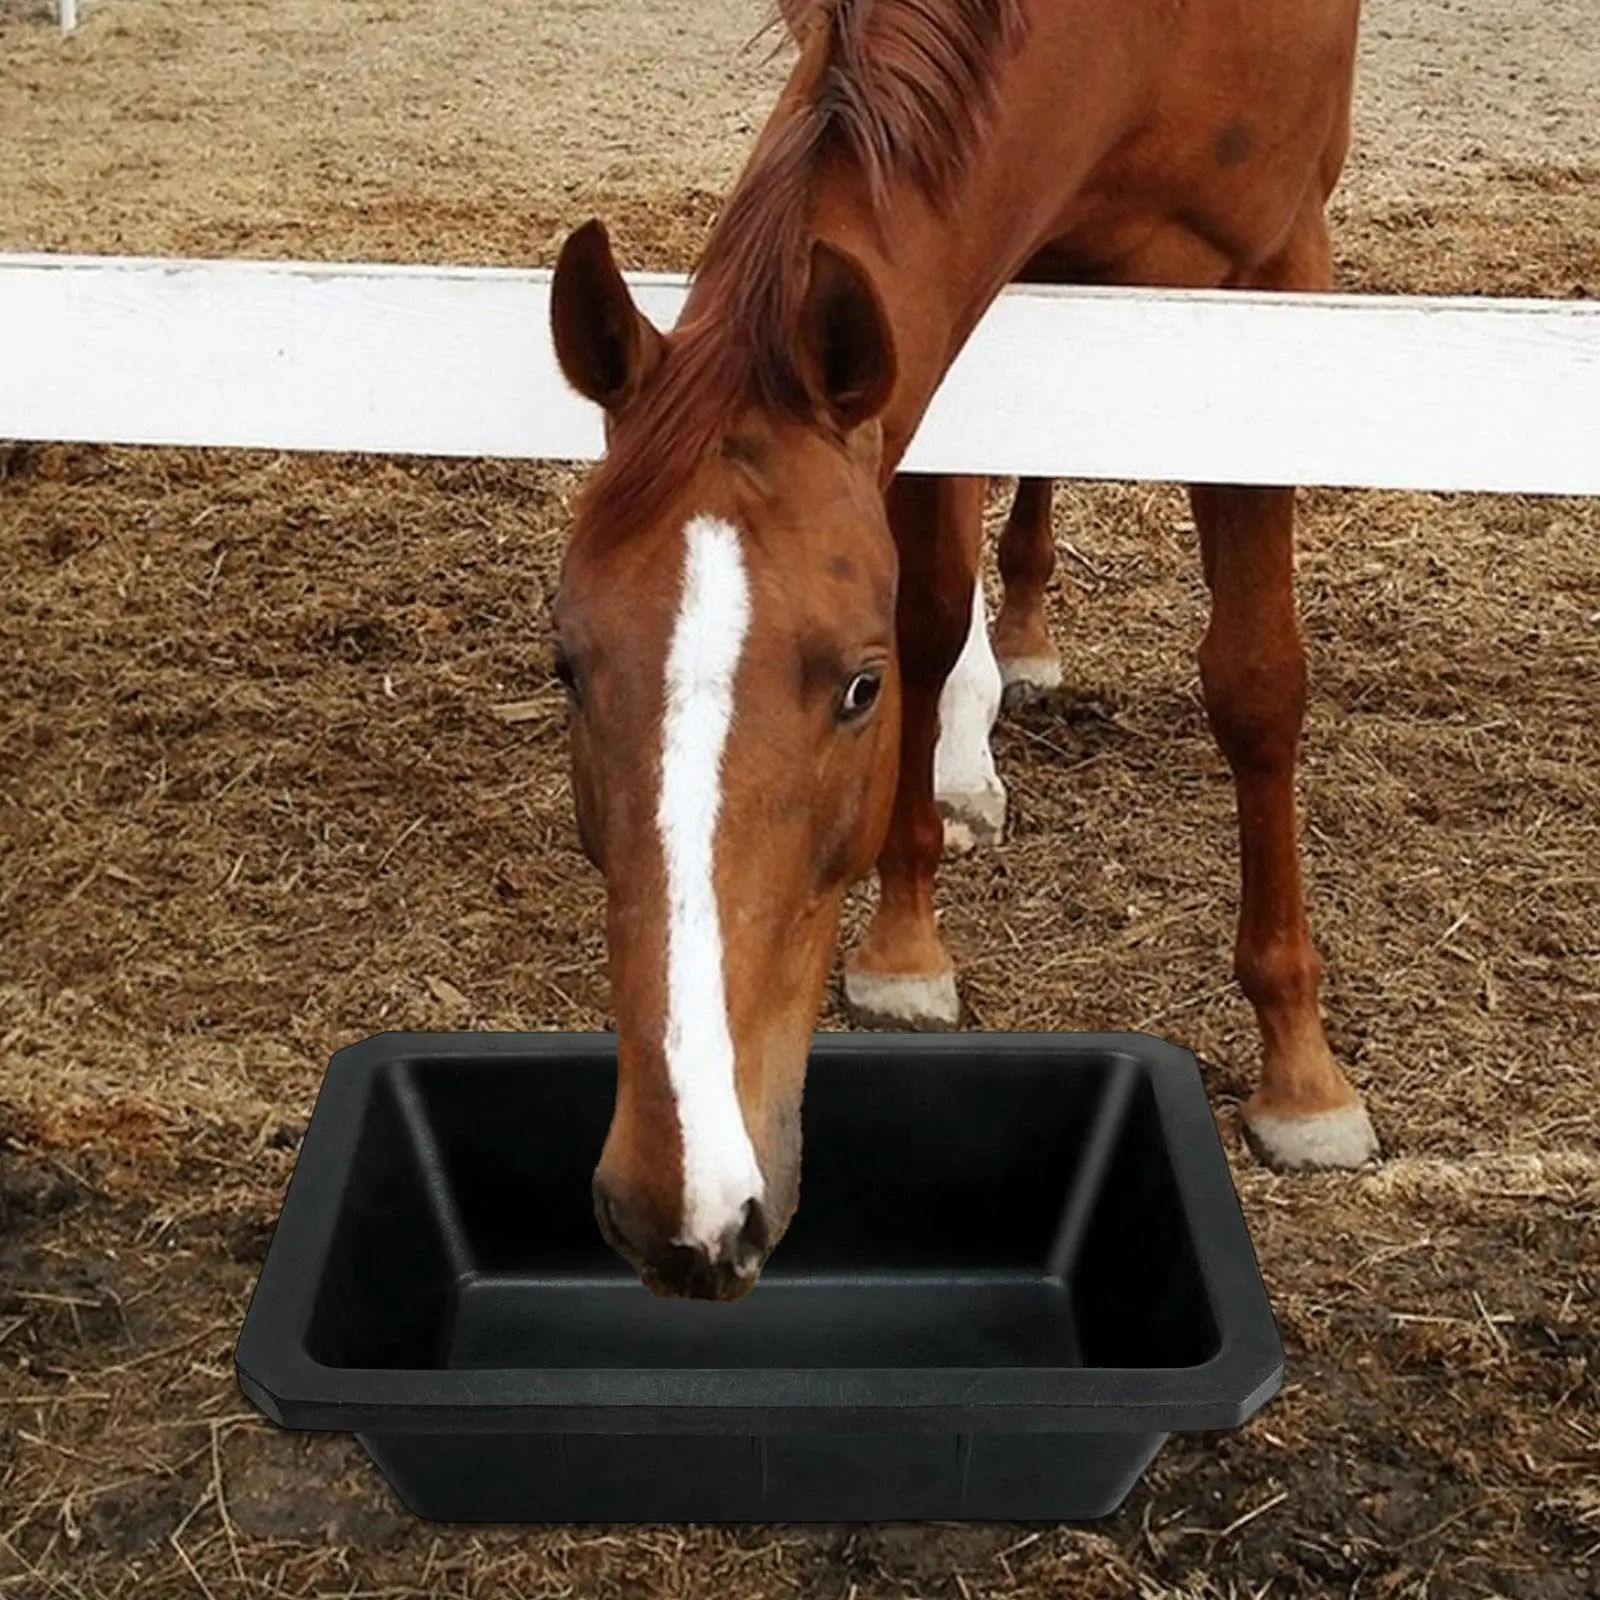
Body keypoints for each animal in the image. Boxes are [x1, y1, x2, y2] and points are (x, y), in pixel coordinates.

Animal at [547, 0, 1378, 1301]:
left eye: (856, 688)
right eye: (567, 668)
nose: (682, 1207)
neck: (1136, 36)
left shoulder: (1272, 276)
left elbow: (1254, 682)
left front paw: (1301, 1073)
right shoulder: (937, 319)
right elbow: (934, 609)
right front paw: (905, 942)